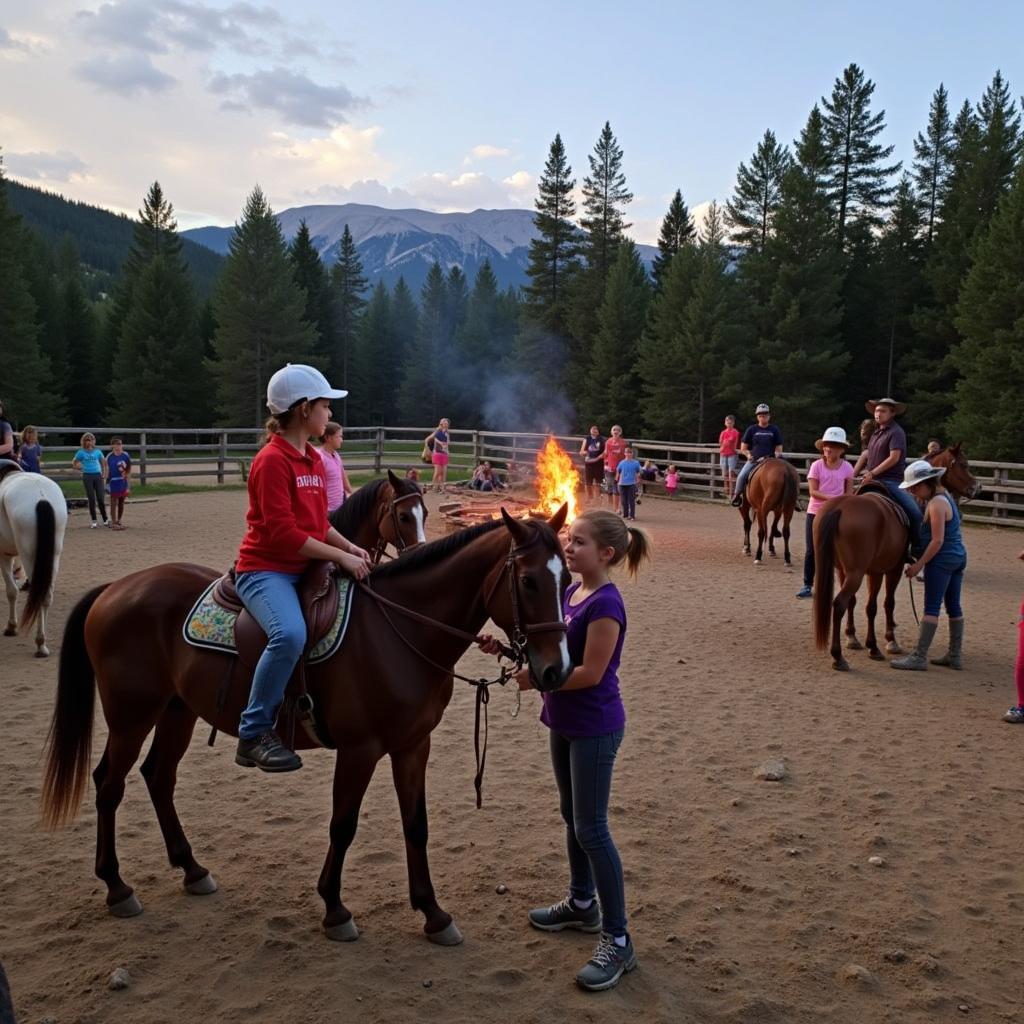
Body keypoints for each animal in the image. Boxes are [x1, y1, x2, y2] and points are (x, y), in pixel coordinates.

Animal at [0, 462, 68, 655]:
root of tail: (41, 496)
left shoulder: (3, 554)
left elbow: (11, 590)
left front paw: (11, 626)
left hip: (30, 556)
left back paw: (39, 643)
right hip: (53, 557)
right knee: (45, 596)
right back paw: (42, 644)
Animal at [39, 507, 569, 946]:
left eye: (566, 581)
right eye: (528, 581)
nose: (556, 670)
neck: (399, 629)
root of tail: (115, 588)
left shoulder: (413, 745)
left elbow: (416, 825)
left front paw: (433, 914)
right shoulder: (360, 749)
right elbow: (343, 825)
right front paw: (335, 909)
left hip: (177, 711)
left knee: (158, 777)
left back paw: (191, 869)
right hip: (132, 716)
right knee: (109, 786)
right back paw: (116, 886)